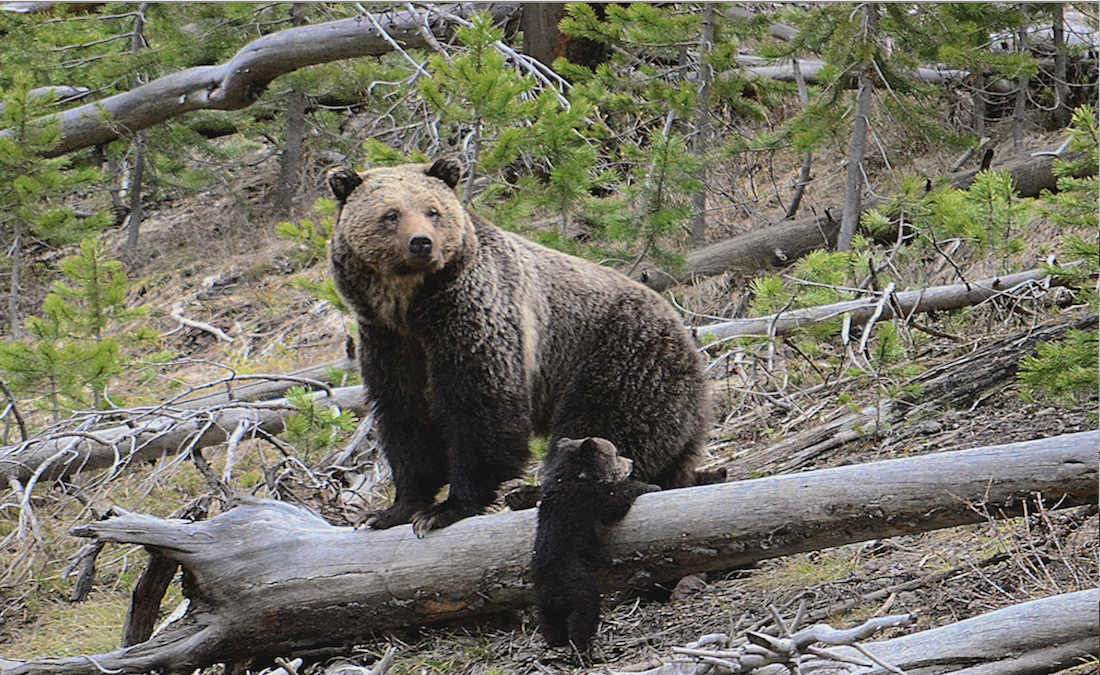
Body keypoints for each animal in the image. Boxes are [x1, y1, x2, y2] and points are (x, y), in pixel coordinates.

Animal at [327, 158, 711, 537]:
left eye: (432, 210)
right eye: (390, 214)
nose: (421, 243)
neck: (411, 306)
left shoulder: (474, 318)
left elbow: (480, 407)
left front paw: (447, 508)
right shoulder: (388, 341)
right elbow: (405, 418)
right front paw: (392, 510)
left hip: (621, 359)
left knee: (604, 428)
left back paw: (535, 491)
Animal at [532, 436, 659, 653]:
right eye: (616, 453)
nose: (631, 462)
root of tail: (552, 592)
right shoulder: (590, 497)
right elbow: (616, 499)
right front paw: (650, 486)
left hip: (543, 602)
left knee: (549, 624)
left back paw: (556, 641)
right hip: (577, 584)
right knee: (584, 614)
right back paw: (583, 645)